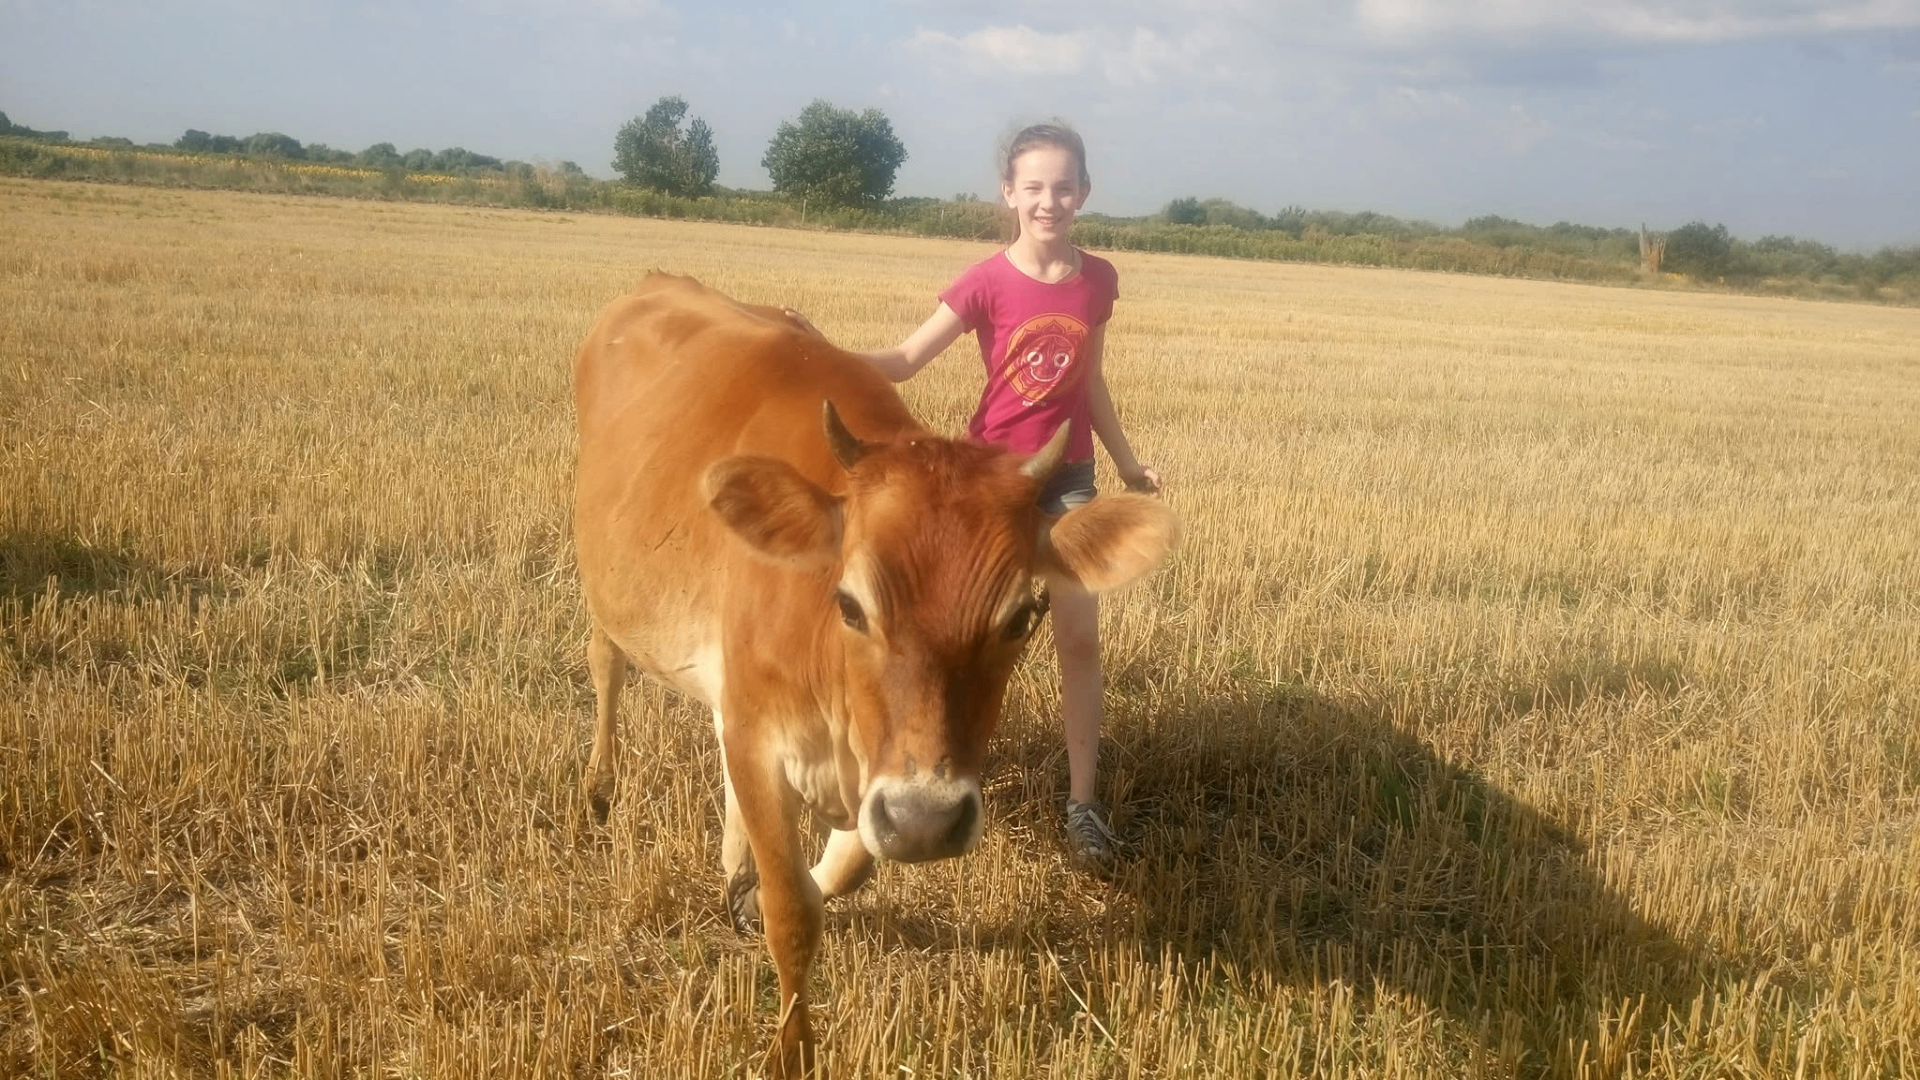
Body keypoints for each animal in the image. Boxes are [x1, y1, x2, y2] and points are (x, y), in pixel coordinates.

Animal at [571, 273, 1177, 1076]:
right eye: (850, 604)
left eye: (1024, 615)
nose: (927, 821)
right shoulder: (760, 734)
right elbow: (793, 909)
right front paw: (789, 1048)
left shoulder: (880, 767)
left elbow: (846, 866)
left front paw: (753, 890)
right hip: (605, 585)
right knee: (606, 665)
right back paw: (600, 789)